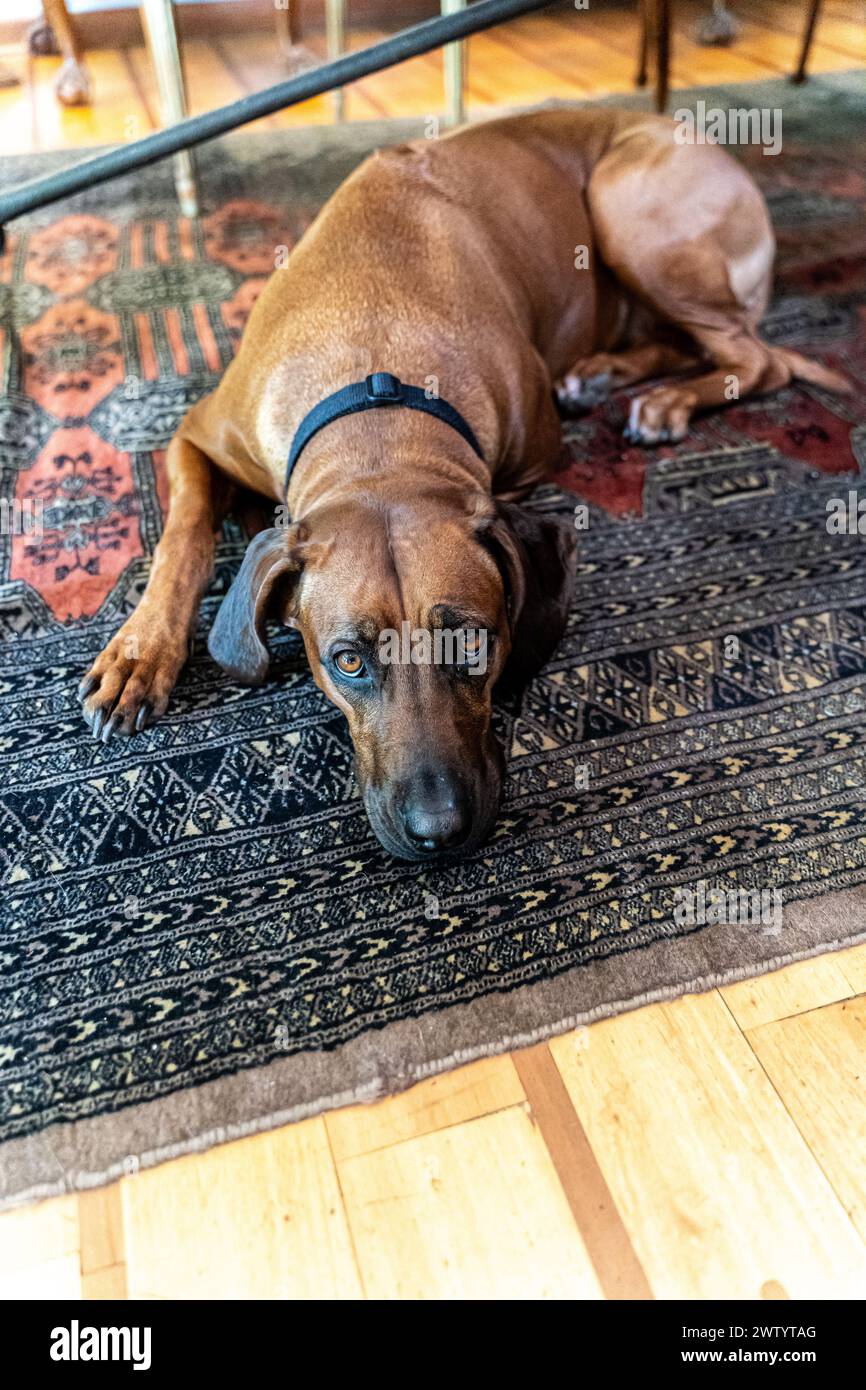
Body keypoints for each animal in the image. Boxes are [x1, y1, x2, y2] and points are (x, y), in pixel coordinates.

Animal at [77, 111, 850, 856]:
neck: (377, 387)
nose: (438, 832)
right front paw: (139, 653)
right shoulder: (197, 434)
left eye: (474, 642)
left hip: (628, 207)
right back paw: (605, 373)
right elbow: (182, 537)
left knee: (758, 357)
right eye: (348, 661)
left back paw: (666, 401)